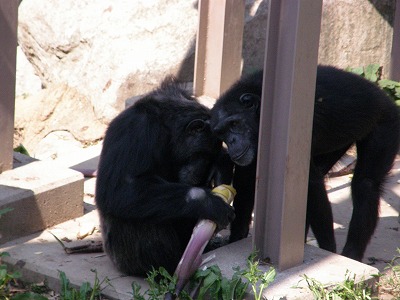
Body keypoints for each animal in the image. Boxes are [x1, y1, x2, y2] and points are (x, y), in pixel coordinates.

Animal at [95, 78, 236, 276]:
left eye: (210, 157)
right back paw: (171, 271)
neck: (167, 133)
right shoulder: (136, 130)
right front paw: (209, 203)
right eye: (203, 154)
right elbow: (122, 189)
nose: (201, 169)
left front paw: (221, 166)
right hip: (124, 260)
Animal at [211, 65, 398, 260]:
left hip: (386, 123)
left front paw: (328, 251)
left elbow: (310, 183)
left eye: (234, 124)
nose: (232, 141)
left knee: (365, 184)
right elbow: (247, 179)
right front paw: (236, 237)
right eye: (221, 133)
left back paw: (351, 254)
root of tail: (385, 97)